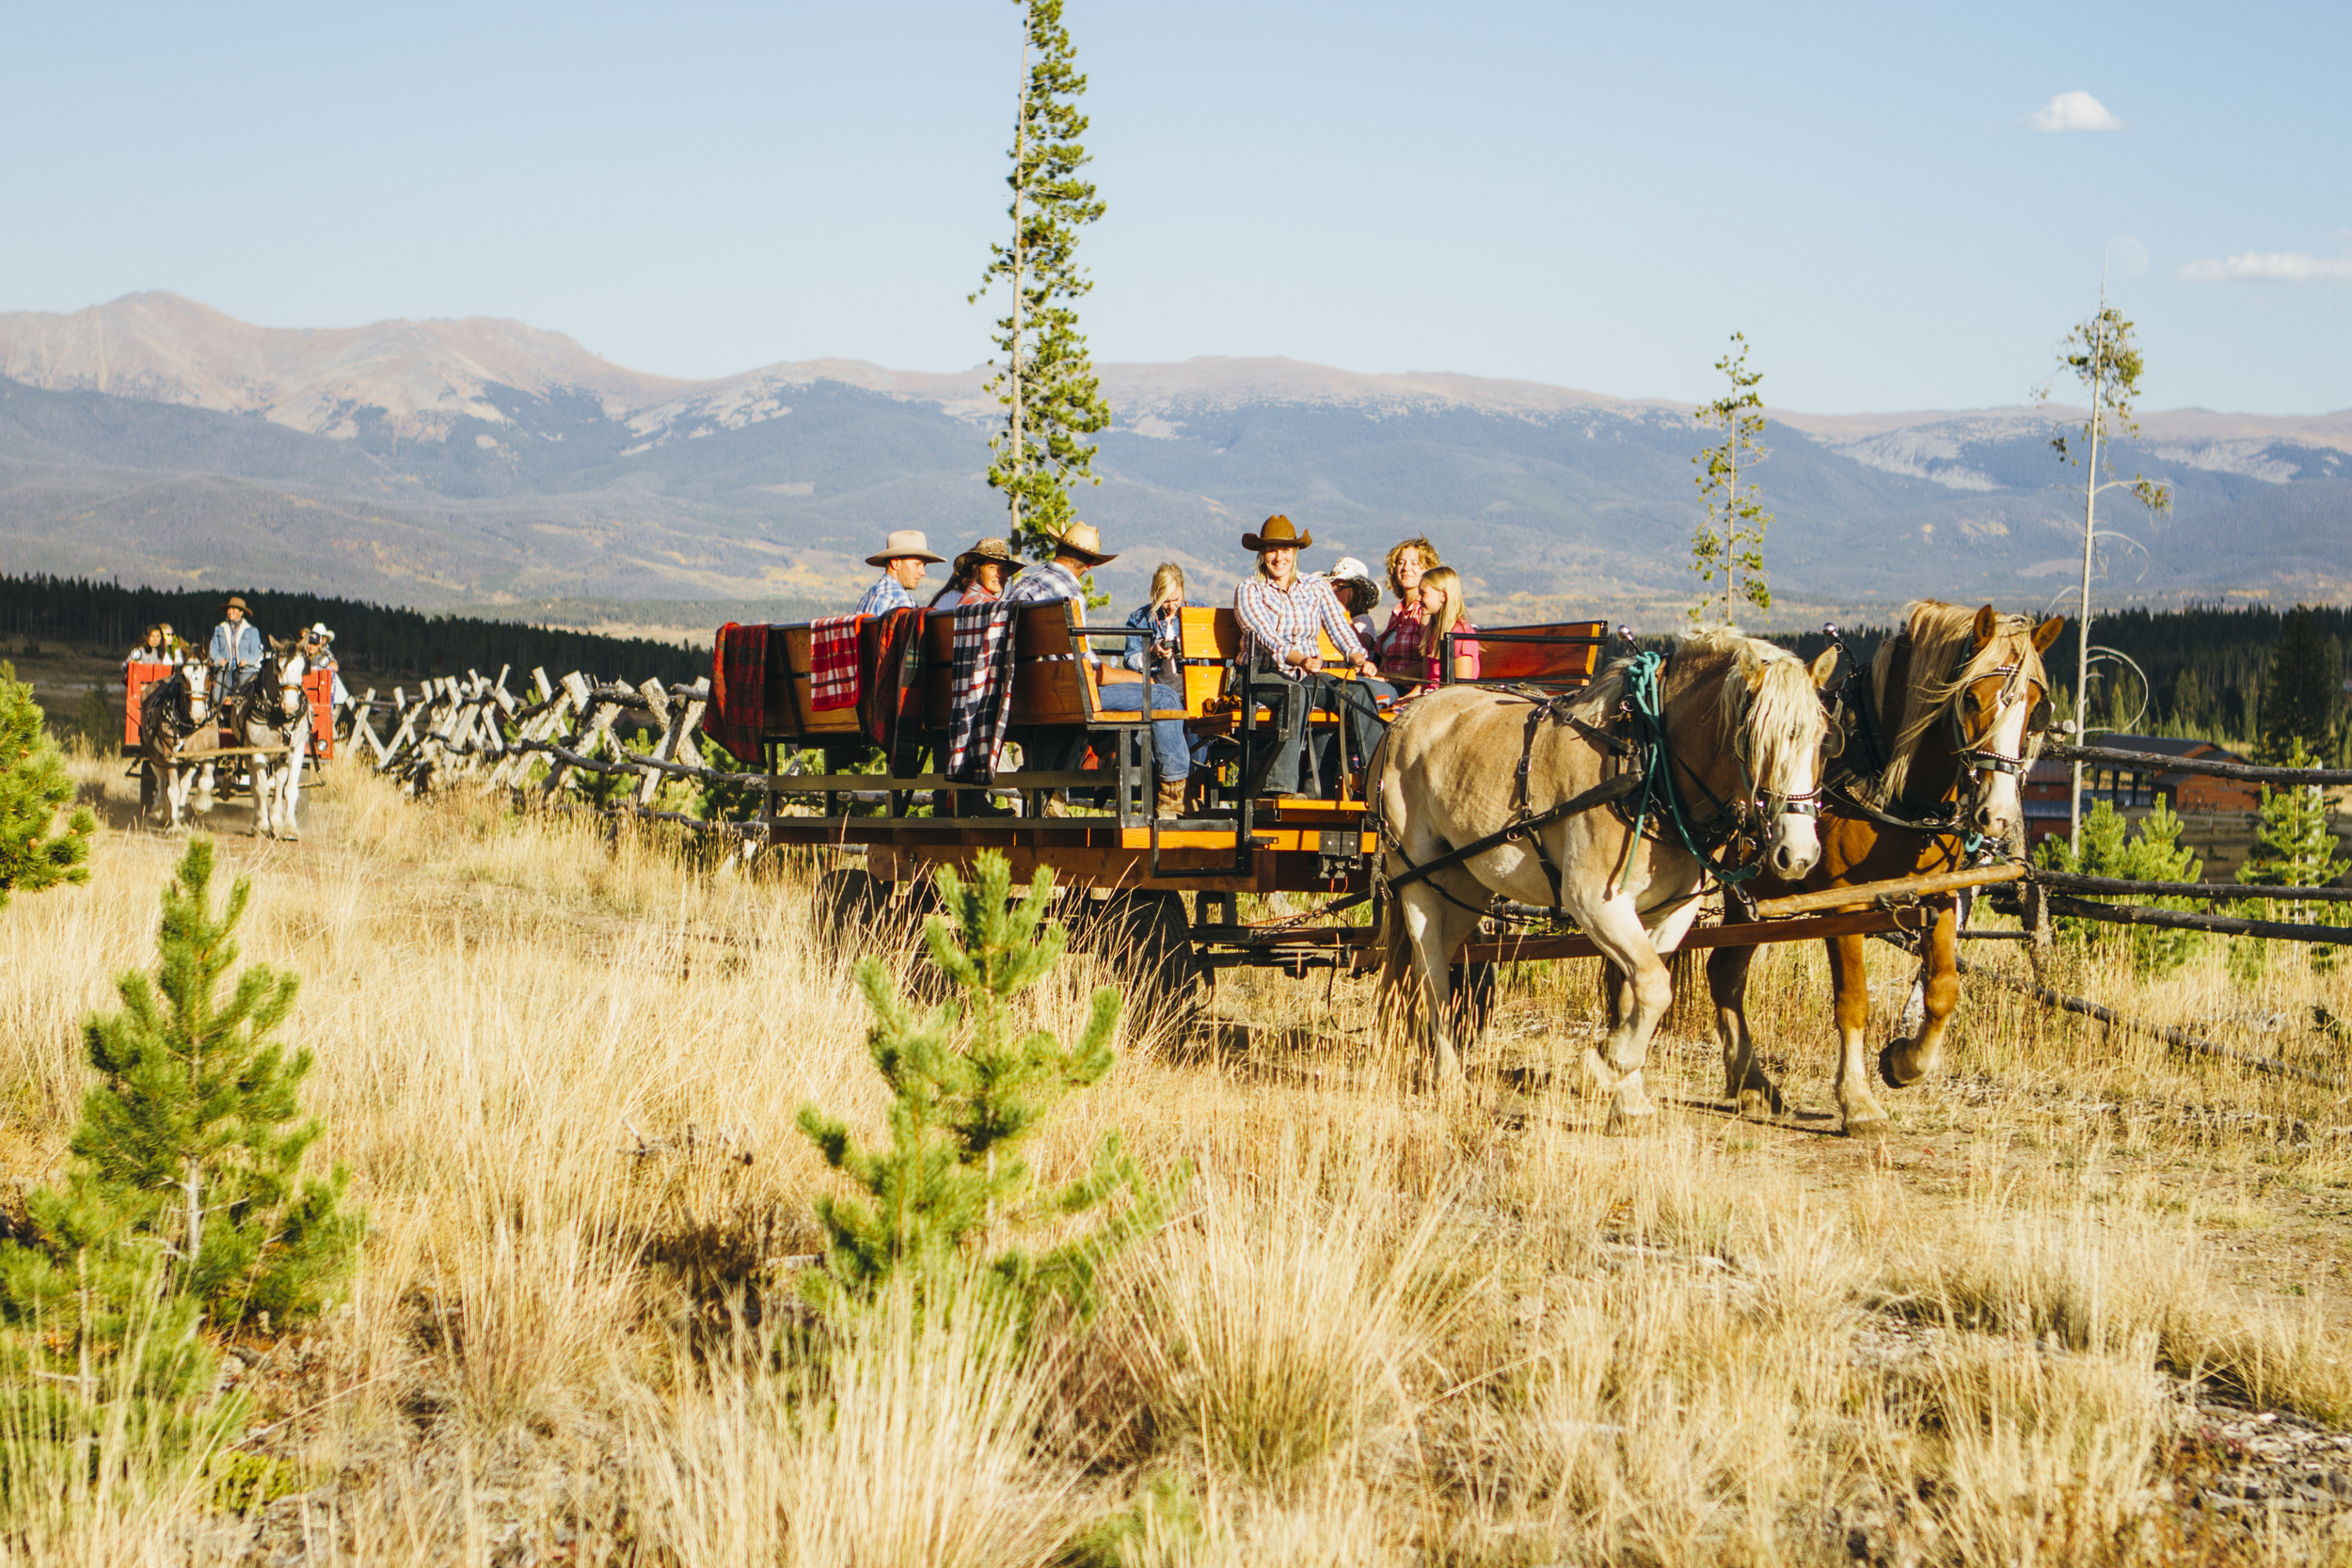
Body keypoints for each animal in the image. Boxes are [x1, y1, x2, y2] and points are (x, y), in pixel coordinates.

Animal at [135, 663, 223, 831]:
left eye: (208, 675)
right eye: (182, 676)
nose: (198, 713)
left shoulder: (200, 755)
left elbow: (196, 784)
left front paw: (198, 808)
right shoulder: (170, 756)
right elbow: (173, 790)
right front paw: (174, 826)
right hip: (153, 752)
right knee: (161, 777)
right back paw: (160, 810)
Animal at [223, 639, 314, 840]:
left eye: (303, 667)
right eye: (278, 667)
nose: (291, 705)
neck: (277, 715)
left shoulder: (296, 751)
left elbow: (290, 789)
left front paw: (289, 828)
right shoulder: (256, 751)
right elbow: (262, 789)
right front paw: (263, 825)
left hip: (280, 757)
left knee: (279, 784)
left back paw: (277, 821)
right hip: (248, 754)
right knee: (255, 785)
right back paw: (258, 823)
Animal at [1371, 627, 1839, 1124]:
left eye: (1822, 740)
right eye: (1752, 737)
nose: (1798, 853)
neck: (1650, 767)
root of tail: (1404, 718)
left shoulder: (1672, 910)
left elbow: (1638, 993)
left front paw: (1627, 1097)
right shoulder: (1595, 901)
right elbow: (1653, 987)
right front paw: (1601, 1067)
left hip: (1463, 881)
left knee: (1437, 956)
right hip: (1415, 874)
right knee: (1430, 968)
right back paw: (1449, 1079)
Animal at [1704, 601, 2061, 1137]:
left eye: (2035, 708)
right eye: (1971, 699)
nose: (1997, 815)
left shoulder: (1940, 895)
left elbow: (1944, 988)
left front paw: (1903, 1063)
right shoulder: (1844, 904)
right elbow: (1853, 1001)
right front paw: (1858, 1102)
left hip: (1753, 897)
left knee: (1724, 971)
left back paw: (1753, 1086)